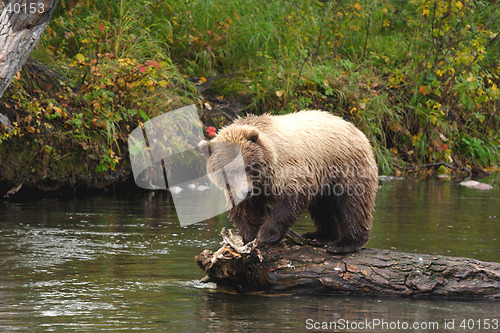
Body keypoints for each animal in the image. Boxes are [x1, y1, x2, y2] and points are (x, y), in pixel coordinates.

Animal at [197, 109, 376, 252]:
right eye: (229, 171)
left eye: (248, 167)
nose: (245, 192)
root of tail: (356, 129)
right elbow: (245, 211)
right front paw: (249, 237)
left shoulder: (286, 168)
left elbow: (293, 196)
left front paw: (266, 234)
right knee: (322, 207)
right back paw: (318, 236)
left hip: (344, 165)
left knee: (352, 204)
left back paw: (345, 243)